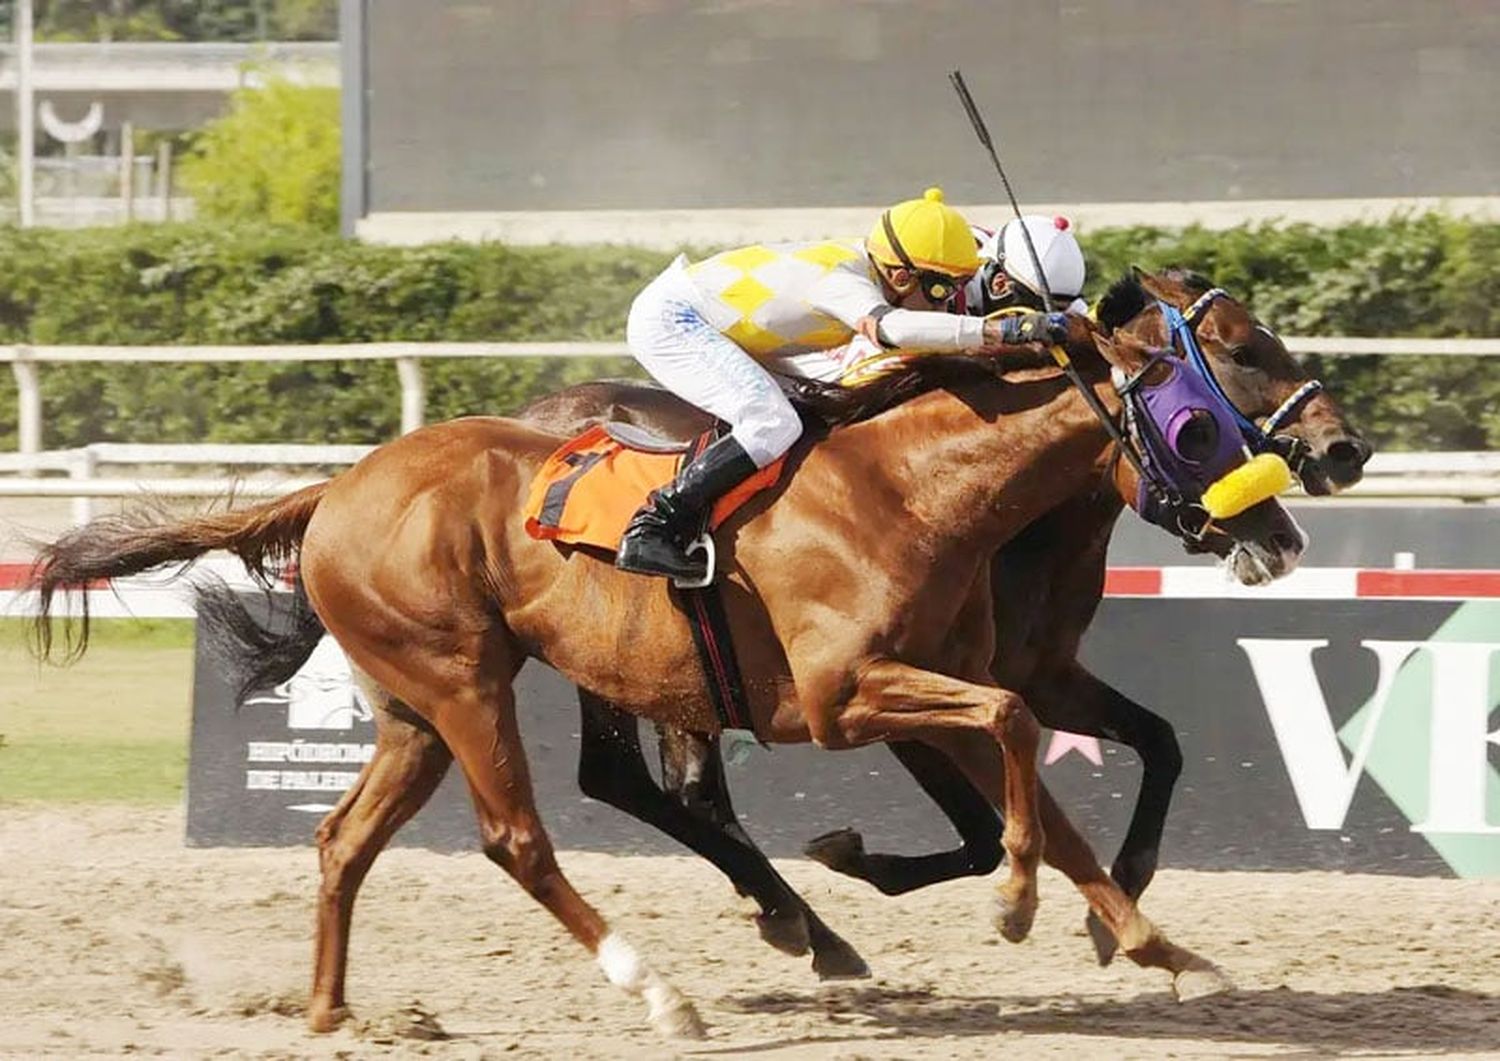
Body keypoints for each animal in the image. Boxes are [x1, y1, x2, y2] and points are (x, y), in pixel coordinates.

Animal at [26, 307, 1302, 1038]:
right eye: (1203, 415)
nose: (1289, 522)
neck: (910, 492)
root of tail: (339, 482)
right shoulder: (847, 697)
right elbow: (1013, 739)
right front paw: (1018, 902)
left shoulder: (946, 685)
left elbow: (1038, 776)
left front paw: (1155, 945)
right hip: (467, 680)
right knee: (521, 836)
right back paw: (661, 985)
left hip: (416, 705)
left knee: (346, 837)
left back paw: (337, 1009)